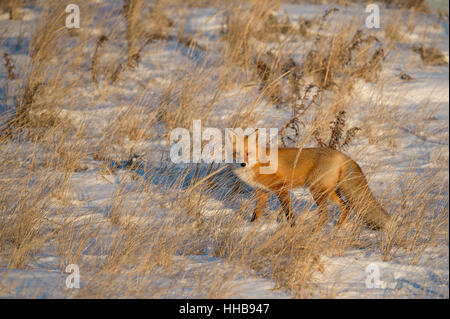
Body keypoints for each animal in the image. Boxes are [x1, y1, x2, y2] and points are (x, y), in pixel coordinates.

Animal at [230, 131, 388, 231]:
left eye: (248, 153)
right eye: (236, 153)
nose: (242, 164)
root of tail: (341, 155)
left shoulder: (281, 189)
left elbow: (289, 213)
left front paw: (292, 229)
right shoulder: (262, 192)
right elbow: (256, 213)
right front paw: (251, 226)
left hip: (317, 191)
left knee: (325, 215)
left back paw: (314, 232)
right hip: (329, 192)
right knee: (346, 207)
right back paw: (337, 228)